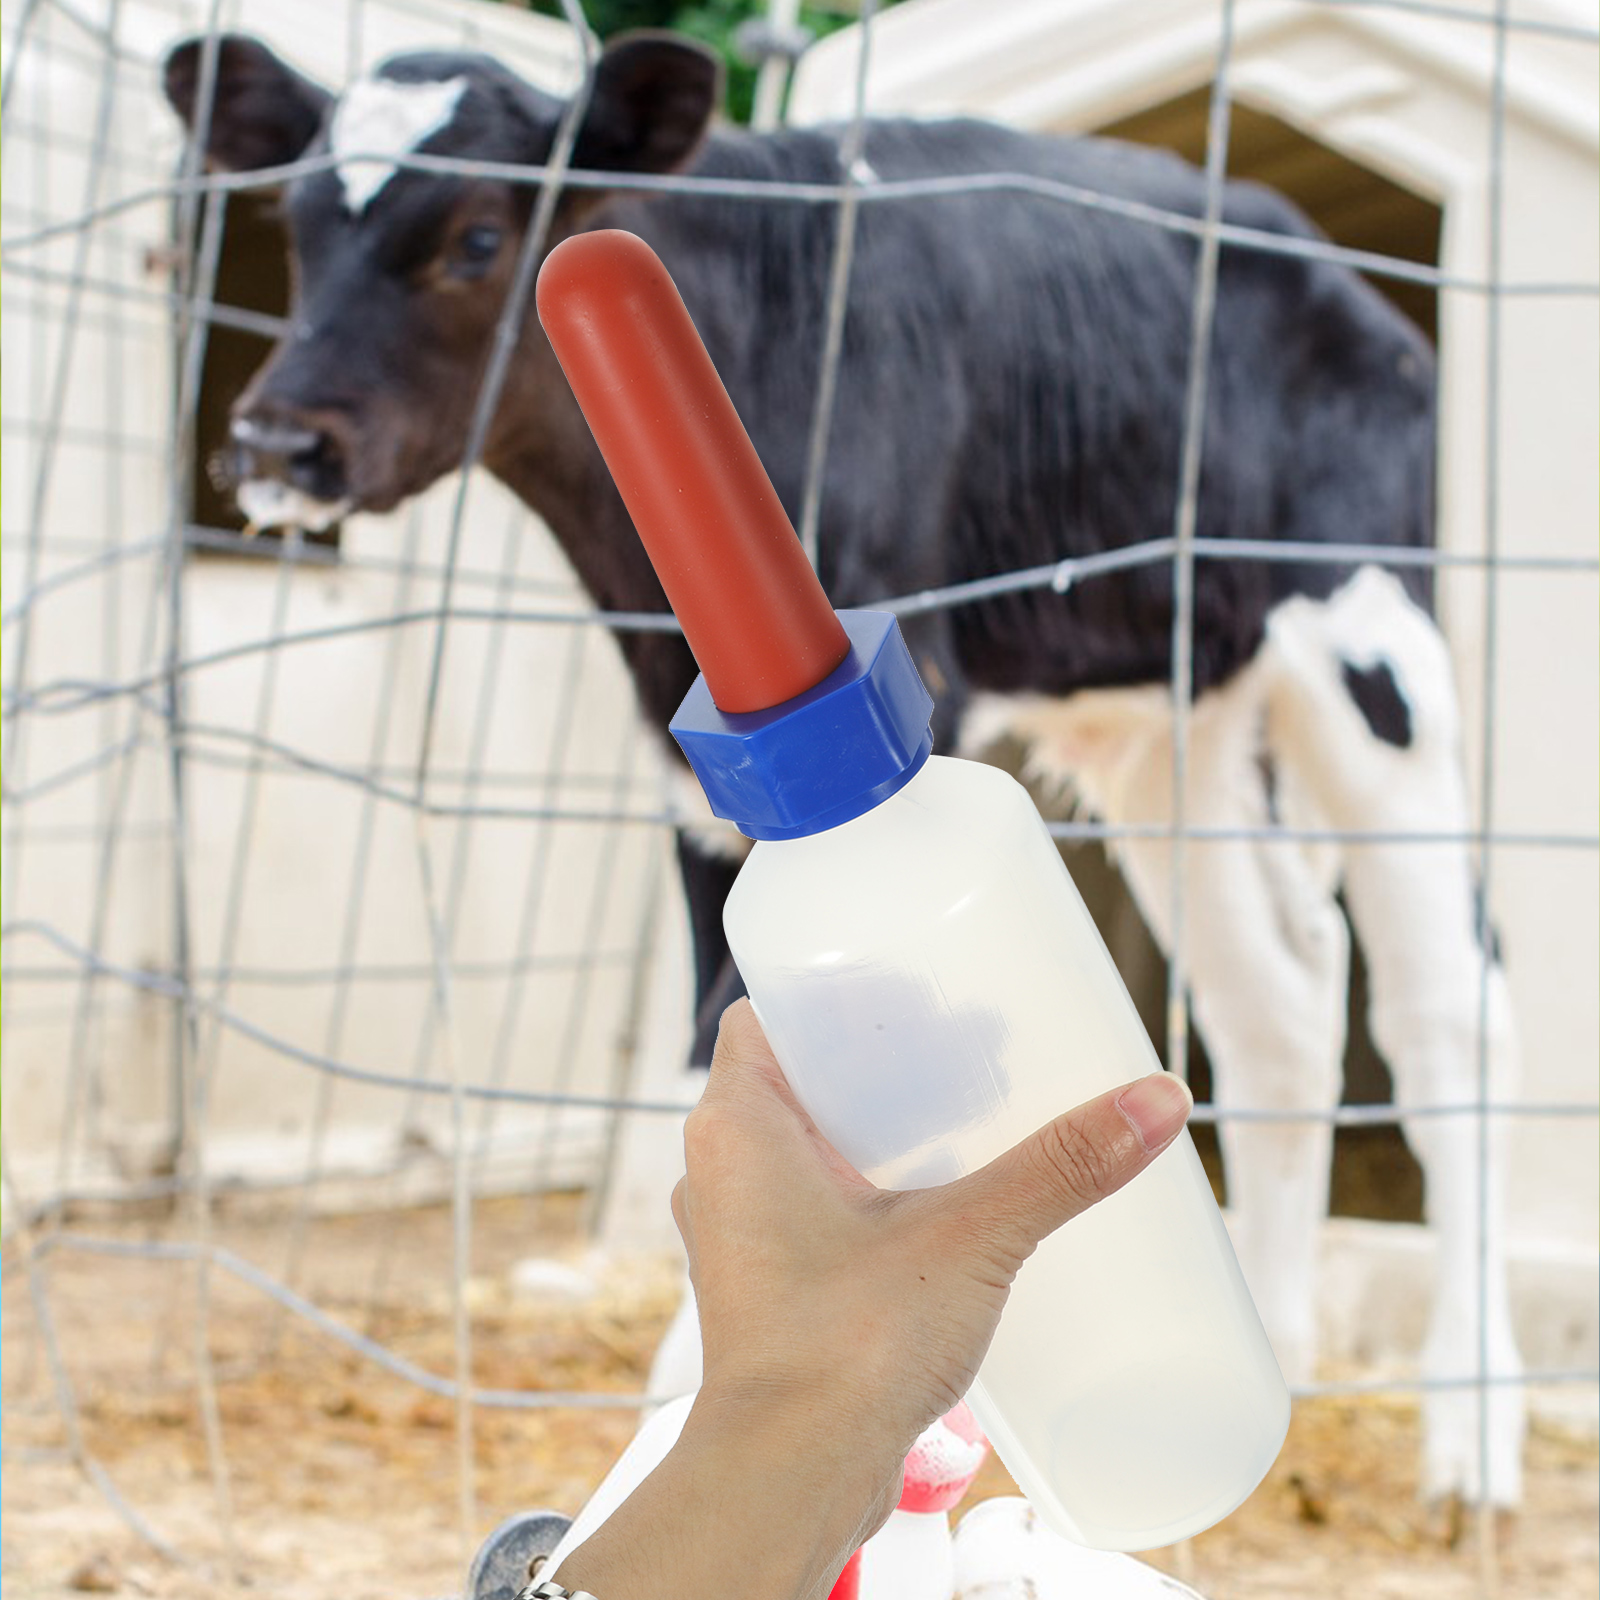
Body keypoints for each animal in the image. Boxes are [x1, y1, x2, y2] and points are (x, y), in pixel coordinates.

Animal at [162, 29, 1524, 1511]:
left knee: (1445, 1008)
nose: (277, 444)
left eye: (477, 233)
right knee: (1277, 1003)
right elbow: (709, 1049)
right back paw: (1279, 1359)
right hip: (1173, 724)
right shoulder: (694, 781)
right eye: (295, 222)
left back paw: (1471, 1438)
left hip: (1371, 651)